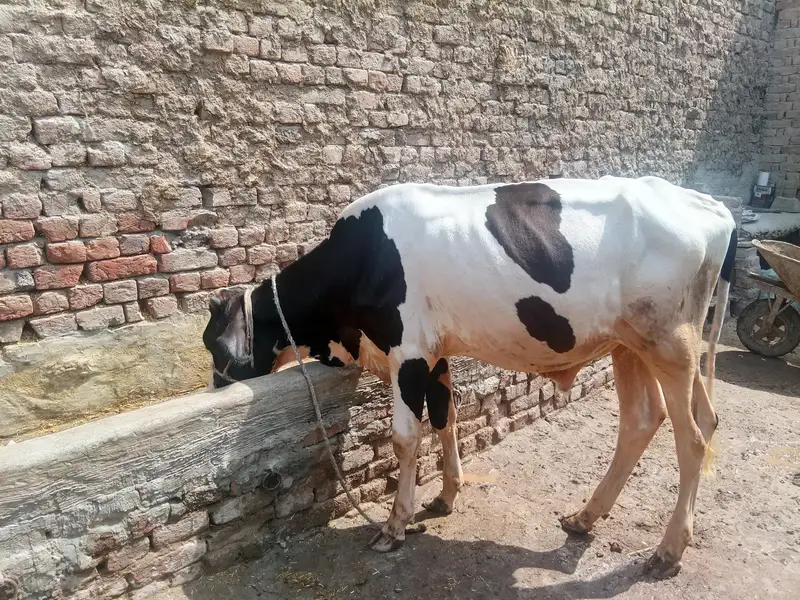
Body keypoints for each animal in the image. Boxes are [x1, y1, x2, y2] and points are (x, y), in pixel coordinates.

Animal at [203, 175, 737, 579]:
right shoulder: (435, 351)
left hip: (670, 343)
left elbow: (405, 438)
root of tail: (712, 206)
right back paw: (584, 518)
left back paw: (667, 552)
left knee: (691, 437)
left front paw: (395, 526)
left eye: (215, 346)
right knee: (651, 420)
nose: (217, 387)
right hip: (633, 345)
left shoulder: (408, 351)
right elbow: (446, 417)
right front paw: (445, 497)